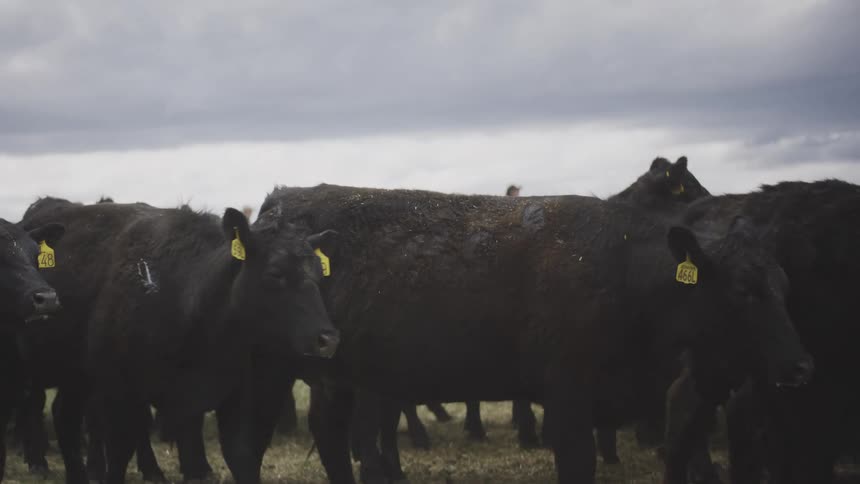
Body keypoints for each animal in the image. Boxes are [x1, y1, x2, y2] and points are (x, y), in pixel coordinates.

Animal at [19, 198, 340, 484]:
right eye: (275, 273)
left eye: (318, 274)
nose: (327, 338)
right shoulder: (121, 394)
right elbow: (120, 455)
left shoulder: (233, 397)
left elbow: (241, 458)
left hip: (76, 375)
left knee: (64, 416)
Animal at [258, 183, 811, 484]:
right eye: (743, 290)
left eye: (785, 285)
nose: (801, 365)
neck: (623, 271)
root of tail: (282, 200)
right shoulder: (568, 399)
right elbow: (578, 463)